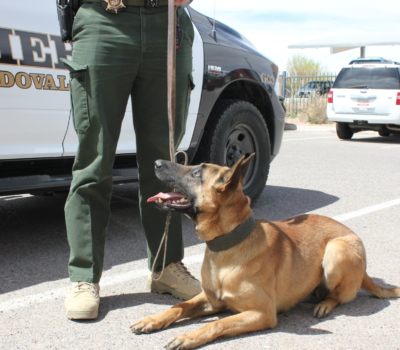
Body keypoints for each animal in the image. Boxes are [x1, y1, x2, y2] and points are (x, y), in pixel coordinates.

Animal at [130, 154, 398, 348]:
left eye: (197, 172)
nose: (156, 162)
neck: (228, 246)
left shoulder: (262, 313)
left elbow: (217, 324)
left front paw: (188, 337)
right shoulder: (212, 300)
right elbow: (179, 307)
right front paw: (152, 320)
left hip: (336, 251)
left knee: (338, 296)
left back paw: (325, 304)